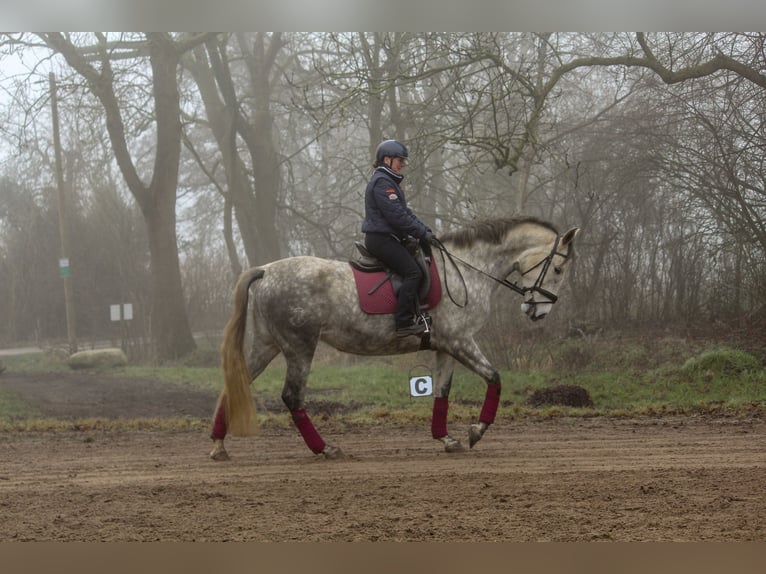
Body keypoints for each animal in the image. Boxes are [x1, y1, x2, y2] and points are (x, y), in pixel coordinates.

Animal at [207, 216, 580, 464]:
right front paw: (476, 431)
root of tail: (266, 270)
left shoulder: (447, 346)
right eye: (558, 270)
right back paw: (325, 448)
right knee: (292, 396)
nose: (538, 311)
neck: (468, 269)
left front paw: (446, 438)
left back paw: (218, 446)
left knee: (235, 383)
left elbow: (442, 392)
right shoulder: (461, 342)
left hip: (268, 345)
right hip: (300, 347)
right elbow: (494, 378)